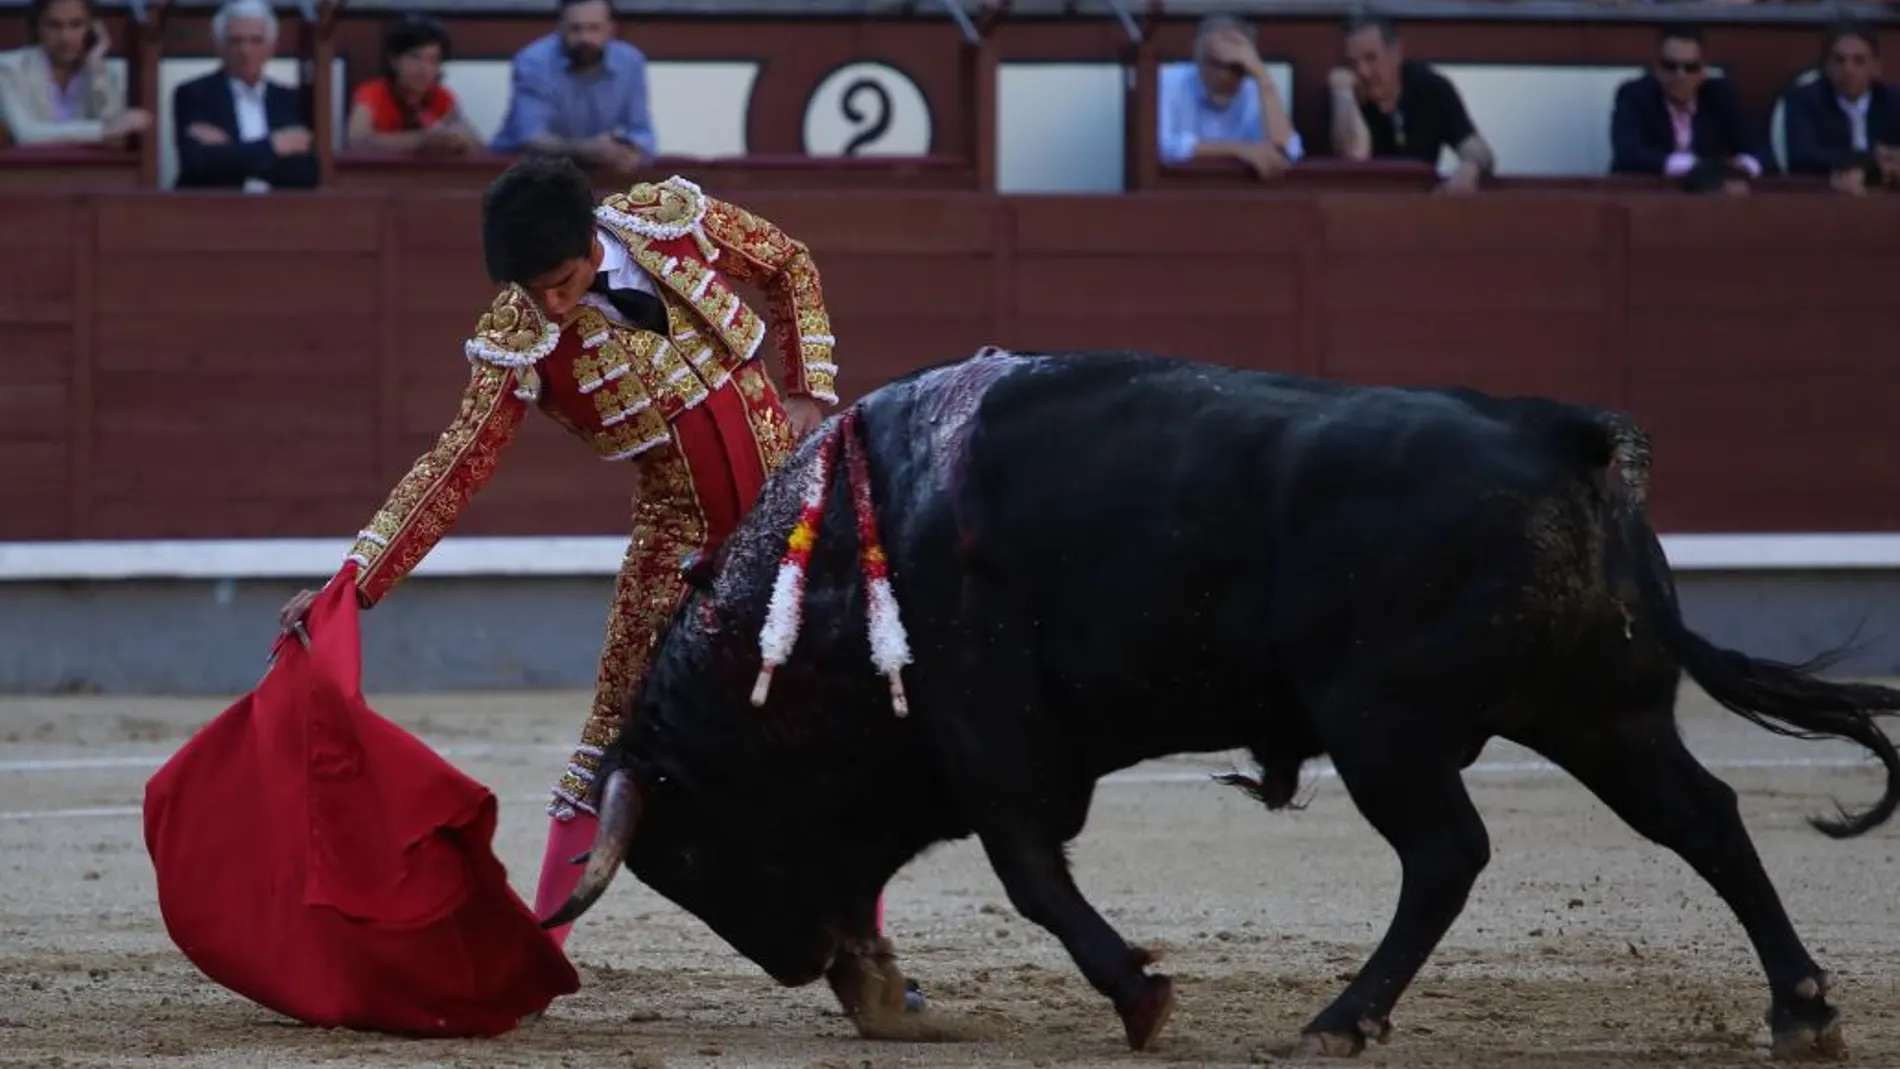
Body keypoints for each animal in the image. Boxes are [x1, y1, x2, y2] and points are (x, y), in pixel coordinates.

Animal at [543, 351, 1892, 1063]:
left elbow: (1031, 875)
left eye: (692, 850)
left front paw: (1140, 996)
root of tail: (1563, 442)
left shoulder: (988, 736)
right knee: (1704, 818)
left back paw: (1340, 1018)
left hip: (1388, 725)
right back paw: (1802, 1010)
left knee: (1448, 852)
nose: (790, 962)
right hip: (1598, 709)